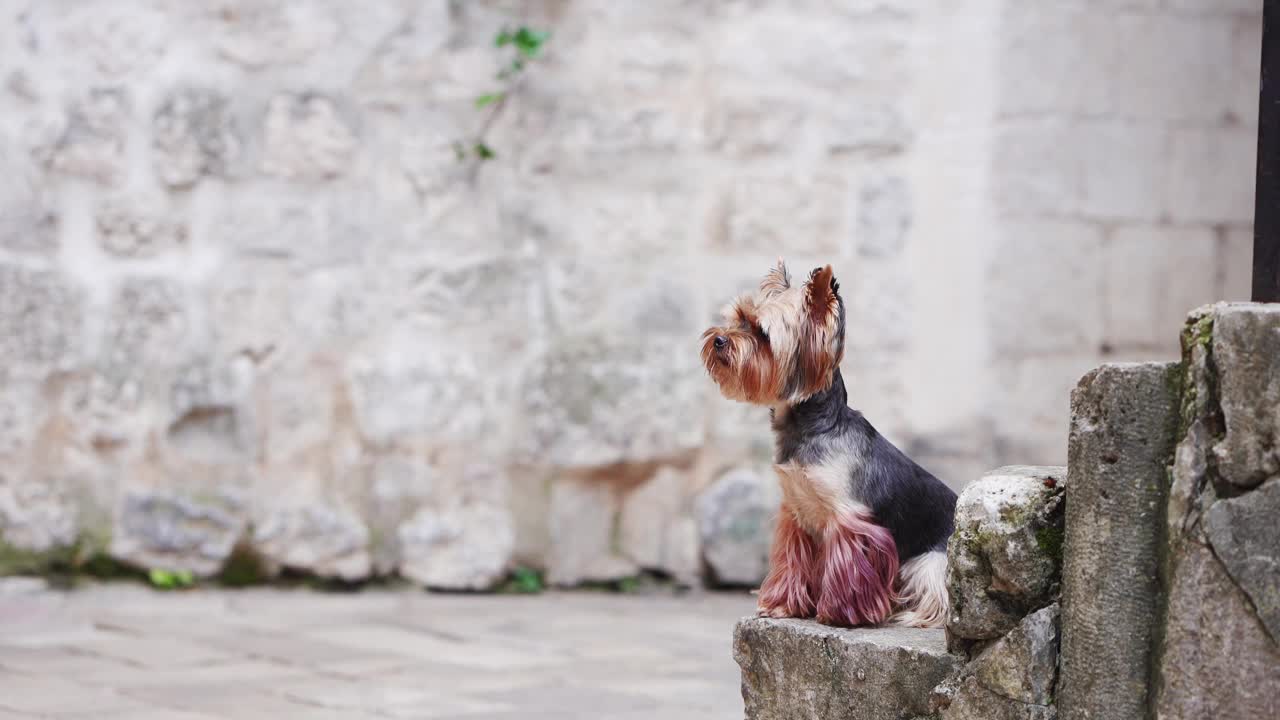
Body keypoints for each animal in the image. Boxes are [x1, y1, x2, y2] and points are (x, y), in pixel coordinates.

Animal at [706, 260, 957, 625]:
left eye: (762, 334)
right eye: (738, 319)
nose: (718, 339)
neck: (814, 427)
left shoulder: (849, 519)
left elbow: (847, 564)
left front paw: (840, 614)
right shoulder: (795, 513)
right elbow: (792, 562)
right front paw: (783, 605)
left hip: (930, 562)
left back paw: (908, 614)